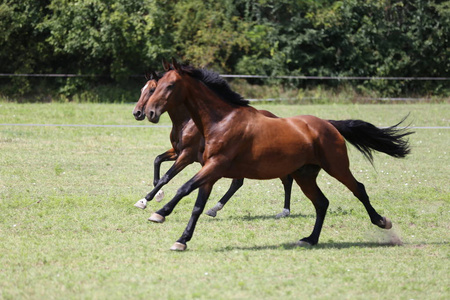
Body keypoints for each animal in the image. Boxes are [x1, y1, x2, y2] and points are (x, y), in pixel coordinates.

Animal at [131, 69, 296, 218]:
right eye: (142, 89)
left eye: (153, 89)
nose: (138, 113)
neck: (186, 122)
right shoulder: (177, 151)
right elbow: (157, 160)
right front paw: (157, 194)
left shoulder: (187, 155)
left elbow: (166, 176)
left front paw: (145, 200)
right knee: (238, 183)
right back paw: (214, 209)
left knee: (286, 180)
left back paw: (285, 211)